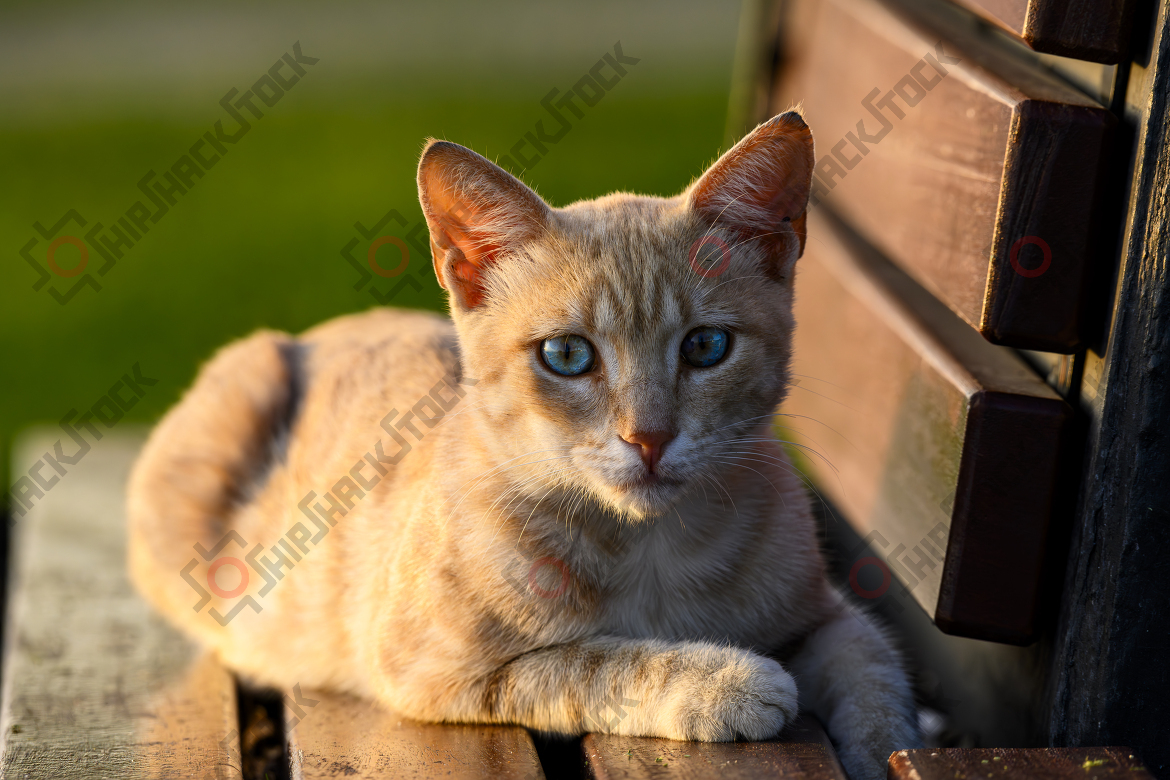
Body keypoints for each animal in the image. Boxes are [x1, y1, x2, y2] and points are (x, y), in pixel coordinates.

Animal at [128, 111, 921, 780]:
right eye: (567, 355)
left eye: (706, 346)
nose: (649, 437)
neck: (650, 550)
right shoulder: (438, 671)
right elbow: (595, 662)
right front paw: (726, 680)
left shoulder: (828, 618)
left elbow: (879, 683)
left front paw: (886, 750)